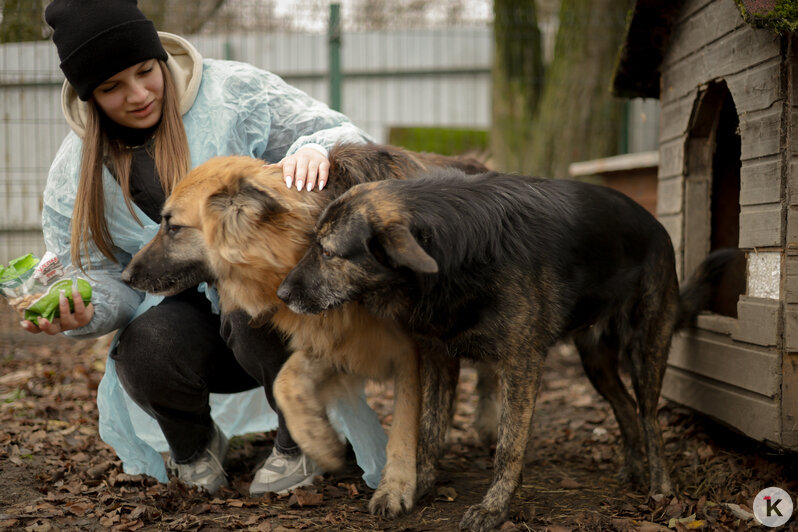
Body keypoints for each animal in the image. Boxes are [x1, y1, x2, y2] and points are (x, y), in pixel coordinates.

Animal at [278, 168, 740, 528]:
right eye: (312, 243)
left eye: (327, 252)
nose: (282, 294)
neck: (455, 250)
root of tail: (659, 226)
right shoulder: (438, 358)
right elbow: (429, 431)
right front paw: (417, 486)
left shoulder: (521, 363)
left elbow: (508, 446)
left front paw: (494, 509)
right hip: (595, 362)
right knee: (626, 406)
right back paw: (633, 468)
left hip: (646, 349)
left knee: (648, 415)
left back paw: (661, 488)